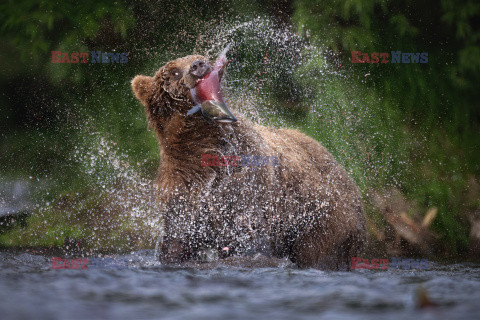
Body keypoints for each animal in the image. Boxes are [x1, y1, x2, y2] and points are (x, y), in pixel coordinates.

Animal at [130, 51, 364, 268]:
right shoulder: (183, 186)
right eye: (173, 71)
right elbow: (178, 239)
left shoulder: (244, 186)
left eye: (198, 56)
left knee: (317, 251)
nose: (198, 65)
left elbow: (245, 236)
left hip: (321, 215)